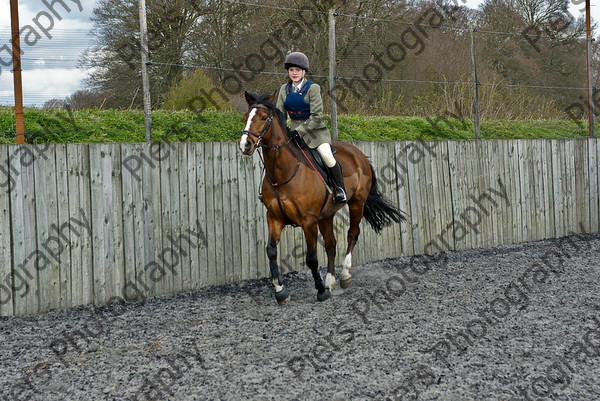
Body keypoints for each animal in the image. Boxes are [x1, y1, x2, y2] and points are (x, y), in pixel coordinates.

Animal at [237, 90, 406, 304]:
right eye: (245, 117)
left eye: (263, 117)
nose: (245, 145)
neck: (283, 173)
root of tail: (358, 153)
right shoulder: (274, 217)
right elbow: (271, 251)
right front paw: (280, 291)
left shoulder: (308, 221)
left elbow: (311, 257)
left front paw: (320, 290)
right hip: (327, 214)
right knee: (331, 244)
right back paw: (330, 281)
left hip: (357, 203)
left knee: (352, 234)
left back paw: (344, 275)